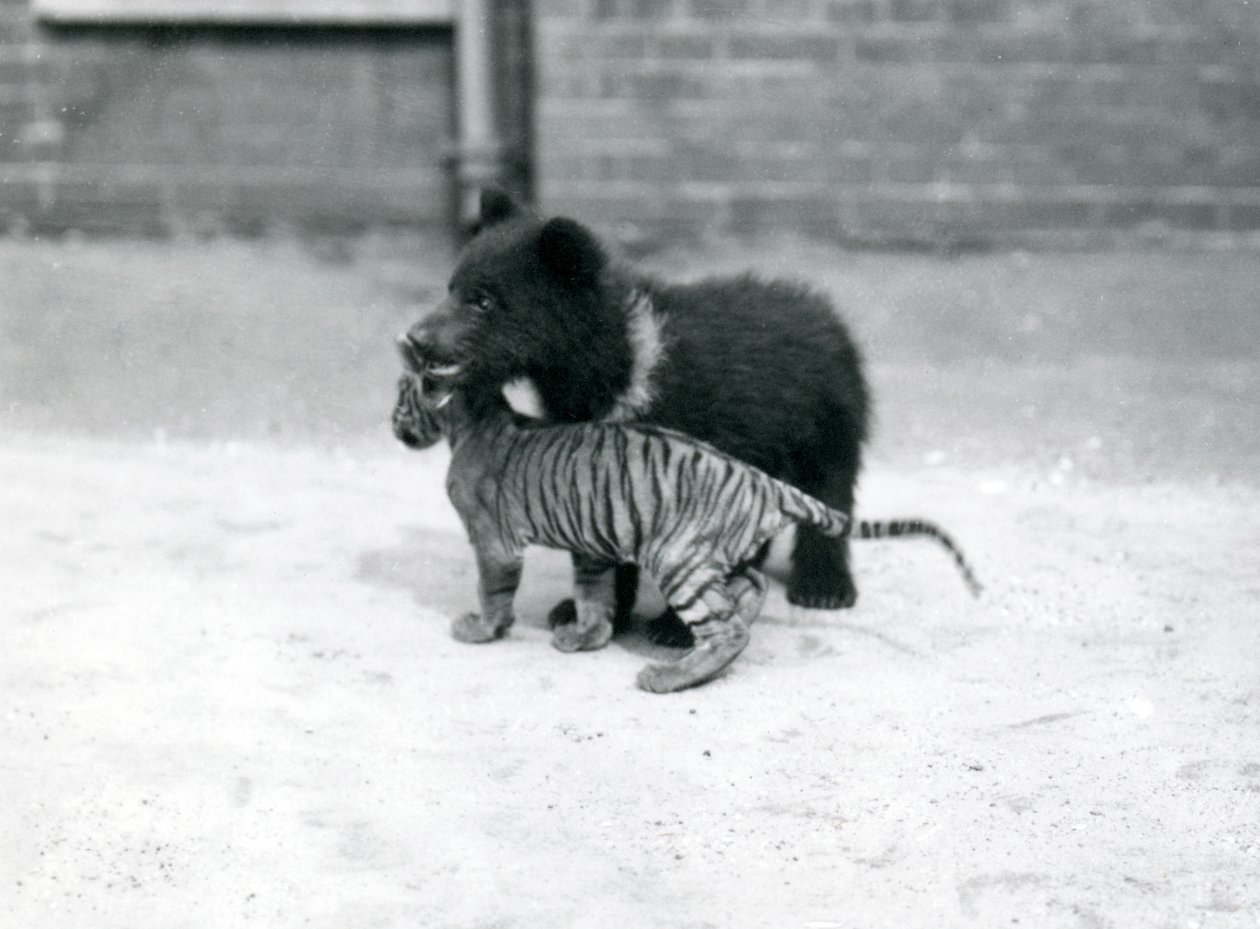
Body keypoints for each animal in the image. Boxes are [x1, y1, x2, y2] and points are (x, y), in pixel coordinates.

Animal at [391, 364, 981, 694]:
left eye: (401, 398)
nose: (393, 424)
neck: (478, 415)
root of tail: (764, 482)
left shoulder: (493, 541)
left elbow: (494, 592)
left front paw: (479, 630)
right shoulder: (591, 543)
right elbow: (594, 594)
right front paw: (587, 636)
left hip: (678, 560)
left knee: (728, 627)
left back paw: (669, 676)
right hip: (713, 556)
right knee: (750, 590)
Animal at [402, 188, 870, 646]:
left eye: (483, 301)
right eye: (451, 287)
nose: (415, 339)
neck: (614, 366)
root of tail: (821, 308)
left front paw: (673, 628)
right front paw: (587, 610)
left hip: (827, 418)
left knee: (831, 487)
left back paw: (823, 587)